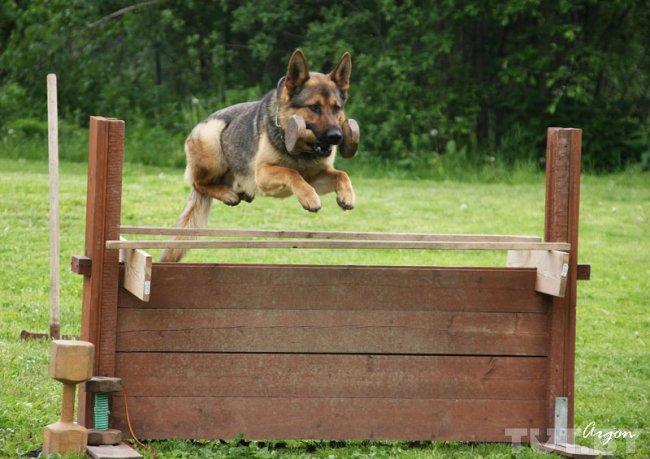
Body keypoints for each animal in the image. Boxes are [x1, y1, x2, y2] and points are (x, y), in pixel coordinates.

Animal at [161, 49, 354, 262]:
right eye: (314, 107)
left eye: (336, 108)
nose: (337, 136)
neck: (300, 151)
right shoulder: (262, 174)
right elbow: (291, 173)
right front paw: (309, 198)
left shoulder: (315, 178)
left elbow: (341, 174)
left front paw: (347, 196)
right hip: (211, 138)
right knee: (198, 183)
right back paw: (227, 194)